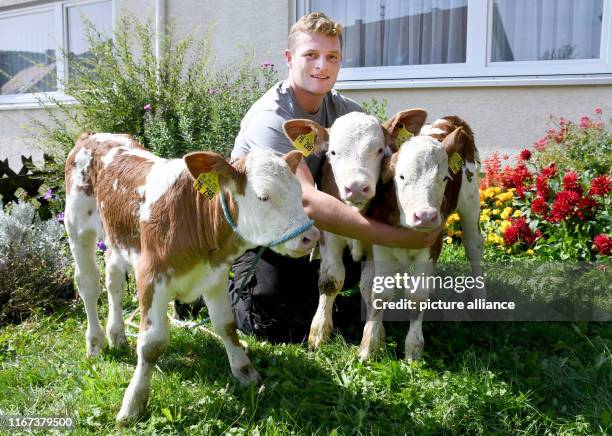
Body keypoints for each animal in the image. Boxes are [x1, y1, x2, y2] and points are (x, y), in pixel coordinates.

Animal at [64, 133, 318, 422]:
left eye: (300, 193)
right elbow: (151, 344)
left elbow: (226, 325)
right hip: (77, 228)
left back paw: (116, 335)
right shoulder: (150, 276)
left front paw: (245, 372)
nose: (311, 236)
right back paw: (95, 343)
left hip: (118, 238)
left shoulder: (216, 276)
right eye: (263, 197)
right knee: (88, 284)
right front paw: (133, 404)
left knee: (114, 279)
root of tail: (93, 136)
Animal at [282, 110, 426, 350]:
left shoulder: (378, 242)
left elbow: (370, 286)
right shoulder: (329, 235)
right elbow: (331, 279)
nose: (357, 187)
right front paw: (319, 331)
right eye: (332, 152)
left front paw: (374, 336)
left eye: (380, 150)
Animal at [358, 116, 482, 362]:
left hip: (471, 204)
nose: (425, 215)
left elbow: (416, 296)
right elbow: (380, 293)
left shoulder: (432, 242)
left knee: (474, 248)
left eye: (445, 177)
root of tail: (451, 120)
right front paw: (369, 346)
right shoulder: (380, 245)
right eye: (401, 176)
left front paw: (413, 351)